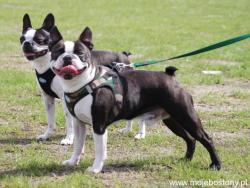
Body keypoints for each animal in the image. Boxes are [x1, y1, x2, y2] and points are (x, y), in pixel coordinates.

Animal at [20, 13, 139, 145]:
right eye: (22, 39)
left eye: (39, 40)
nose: (27, 43)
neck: (45, 66)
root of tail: (124, 56)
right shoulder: (47, 98)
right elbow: (50, 120)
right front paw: (47, 135)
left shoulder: (66, 99)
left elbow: (69, 121)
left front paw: (69, 138)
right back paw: (127, 130)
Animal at [48, 26, 221, 173]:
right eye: (57, 52)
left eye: (80, 53)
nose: (68, 57)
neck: (83, 83)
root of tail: (171, 77)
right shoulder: (78, 124)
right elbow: (77, 145)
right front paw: (72, 162)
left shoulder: (99, 125)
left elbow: (99, 149)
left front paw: (95, 168)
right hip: (172, 120)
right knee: (190, 139)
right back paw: (186, 160)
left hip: (186, 116)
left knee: (206, 138)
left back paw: (216, 165)